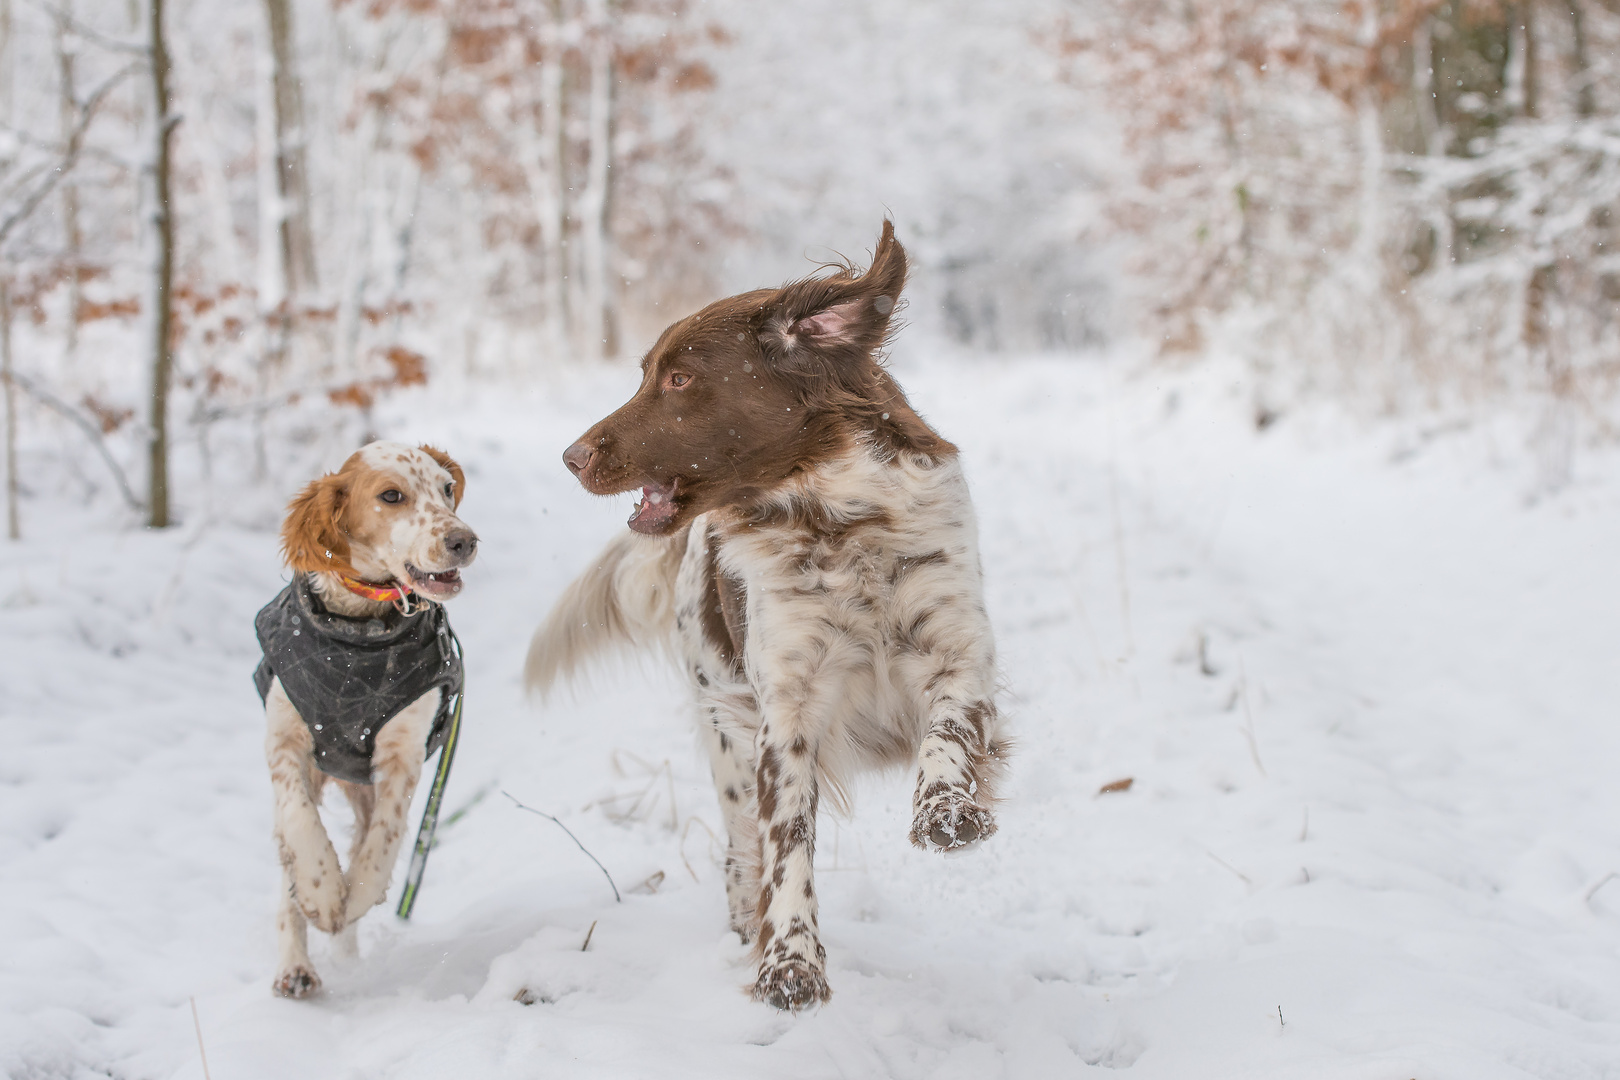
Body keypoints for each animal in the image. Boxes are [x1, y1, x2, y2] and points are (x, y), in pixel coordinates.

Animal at [252, 440, 476, 997]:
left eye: (446, 488)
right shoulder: (286, 741)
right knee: (287, 859)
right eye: (390, 496)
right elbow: (301, 823)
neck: (358, 640)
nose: (464, 541)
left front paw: (350, 900)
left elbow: (383, 843)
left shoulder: (402, 756)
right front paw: (322, 893)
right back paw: (296, 967)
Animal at [531, 223, 1004, 1010]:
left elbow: (949, 732)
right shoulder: (784, 716)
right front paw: (789, 962)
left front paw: (946, 811)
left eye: (679, 380)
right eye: (645, 372)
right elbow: (787, 847)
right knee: (741, 853)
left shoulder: (957, 649)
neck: (836, 518)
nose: (571, 457)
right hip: (723, 729)